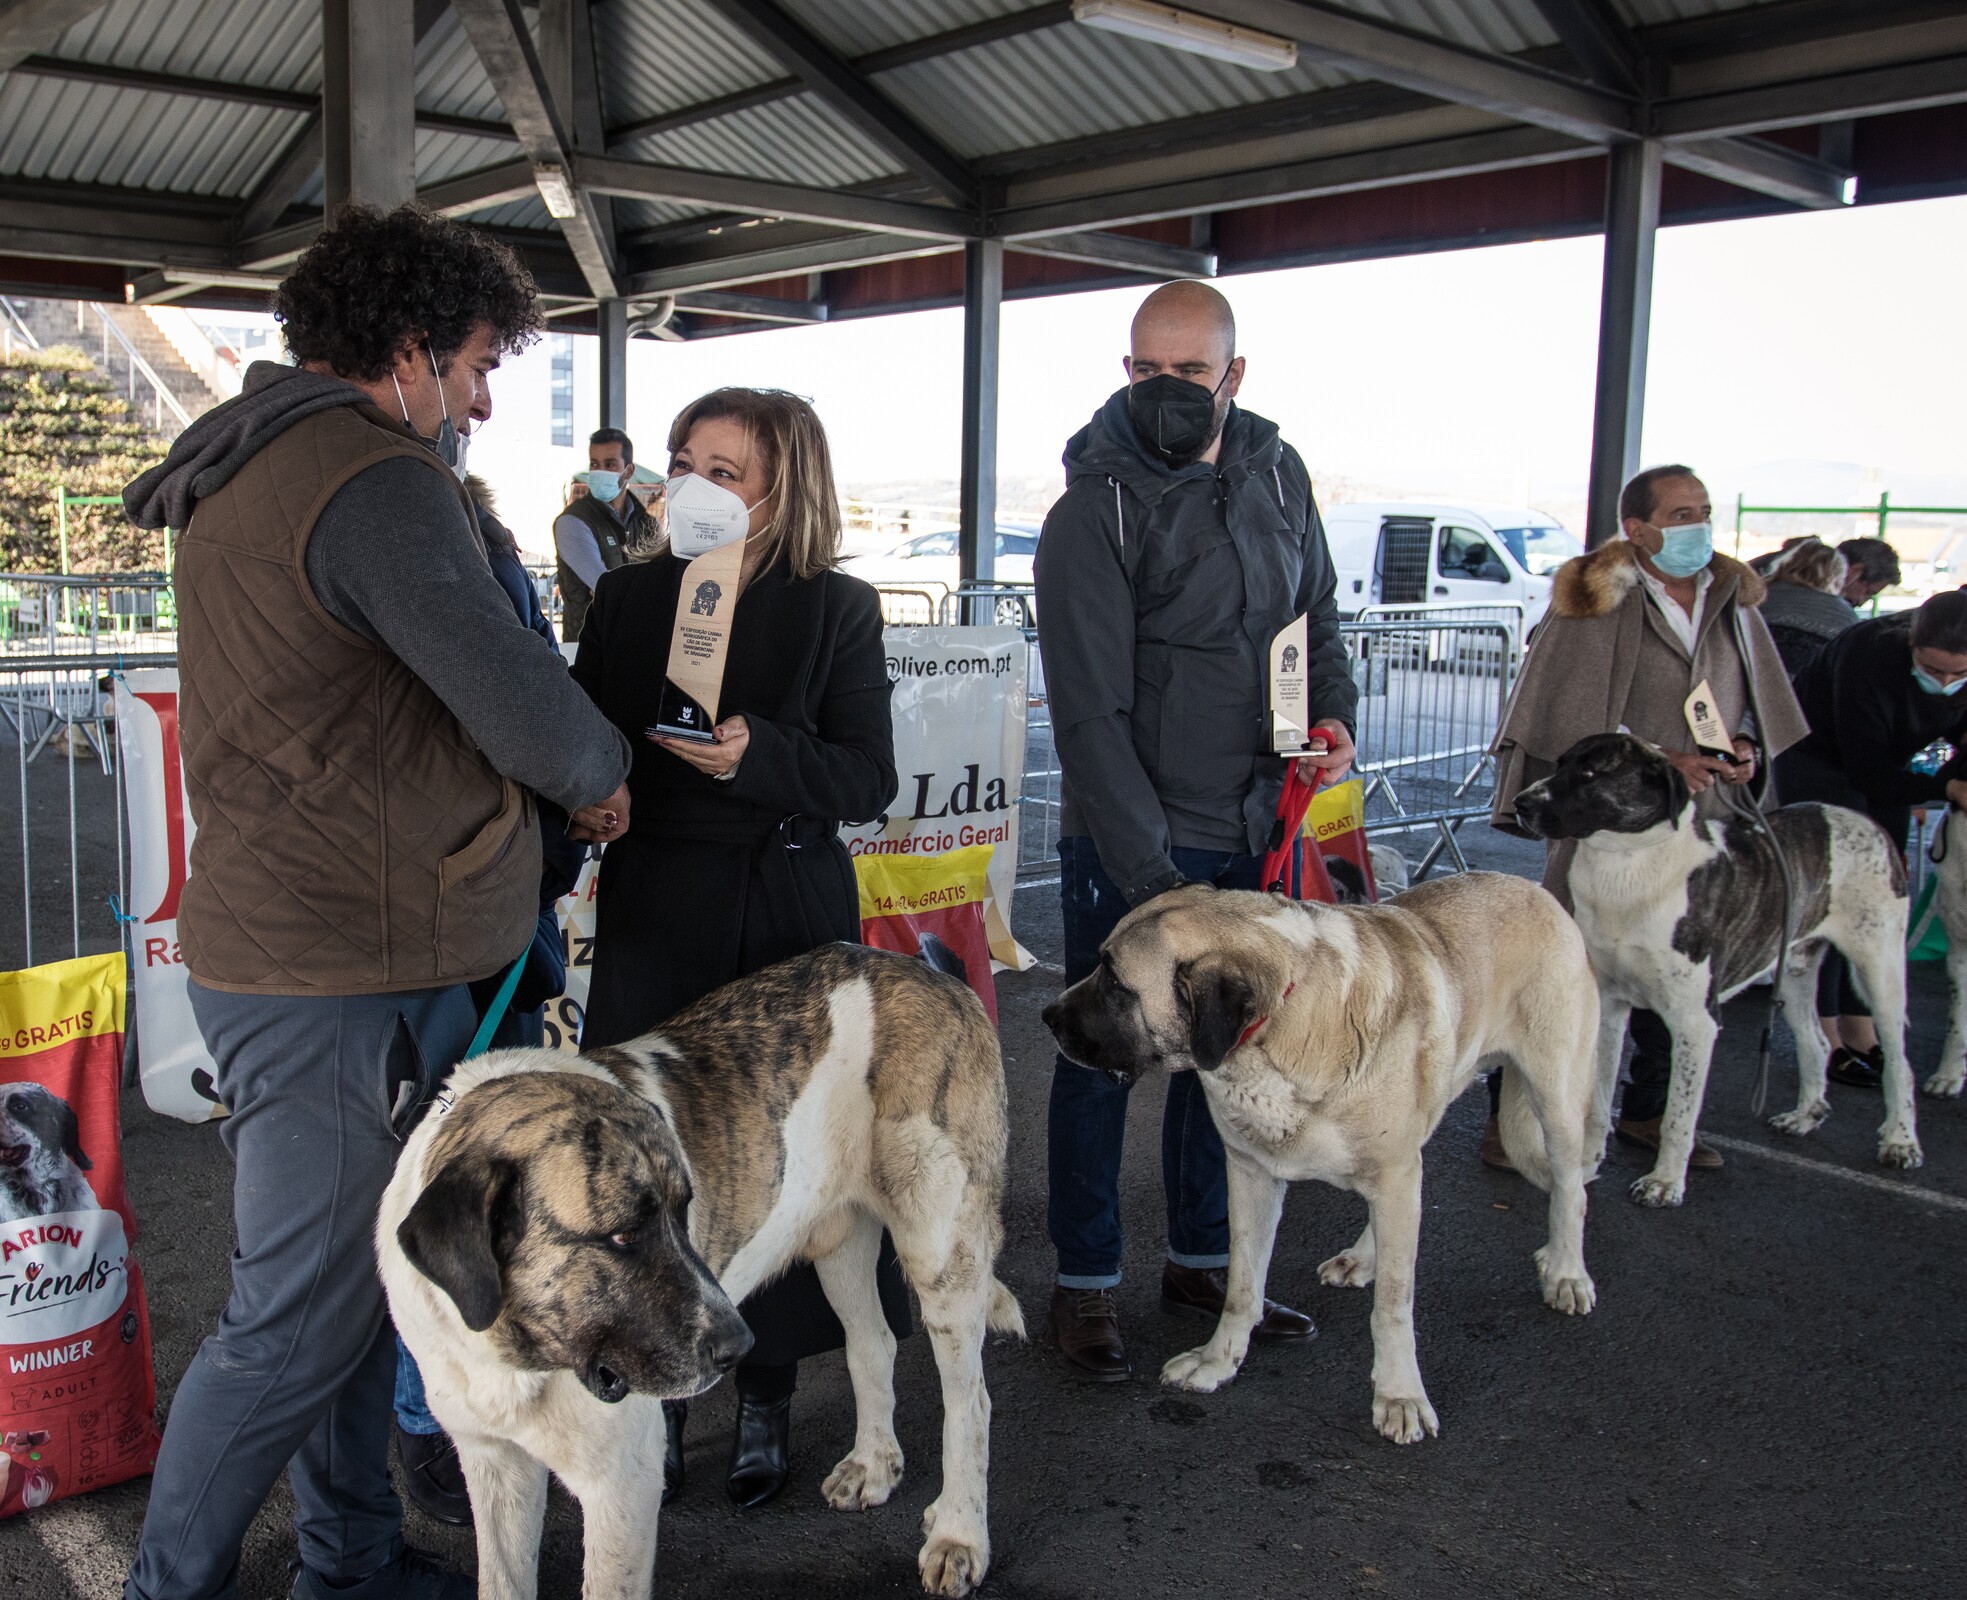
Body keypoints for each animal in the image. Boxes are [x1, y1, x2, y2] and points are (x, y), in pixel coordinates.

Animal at [383, 940, 1030, 1590]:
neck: (513, 1348)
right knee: (873, 1343)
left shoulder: (620, 1485)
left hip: (940, 1248)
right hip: (838, 1242)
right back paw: (873, 1463)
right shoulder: (493, 1465)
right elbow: (502, 1577)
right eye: (622, 1235)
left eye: (683, 1210)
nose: (738, 1348)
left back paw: (959, 1534)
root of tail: (929, 970)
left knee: (970, 1402)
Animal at [1046, 873, 1597, 1448]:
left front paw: (1400, 1395)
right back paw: (1365, 1256)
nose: (1048, 1017)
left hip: (1553, 1099)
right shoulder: (1251, 1174)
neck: (1285, 1023)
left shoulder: (1394, 1175)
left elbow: (1394, 1306)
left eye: (1115, 981)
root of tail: (1532, 888)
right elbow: (1241, 1285)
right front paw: (1219, 1361)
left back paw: (1567, 1272)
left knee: (1571, 1187)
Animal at [1510, 732, 1911, 1204]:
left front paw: (1665, 1181)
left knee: (1900, 1062)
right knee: (1816, 1041)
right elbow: (1598, 1098)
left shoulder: (1695, 1022)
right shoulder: (1608, 1008)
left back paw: (1900, 1140)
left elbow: (1678, 1113)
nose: (1521, 803)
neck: (1626, 862)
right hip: (1794, 969)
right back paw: (1805, 1115)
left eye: (1590, 773)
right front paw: (1587, 1163)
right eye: (1560, 763)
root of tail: (1869, 822)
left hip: (1879, 968)